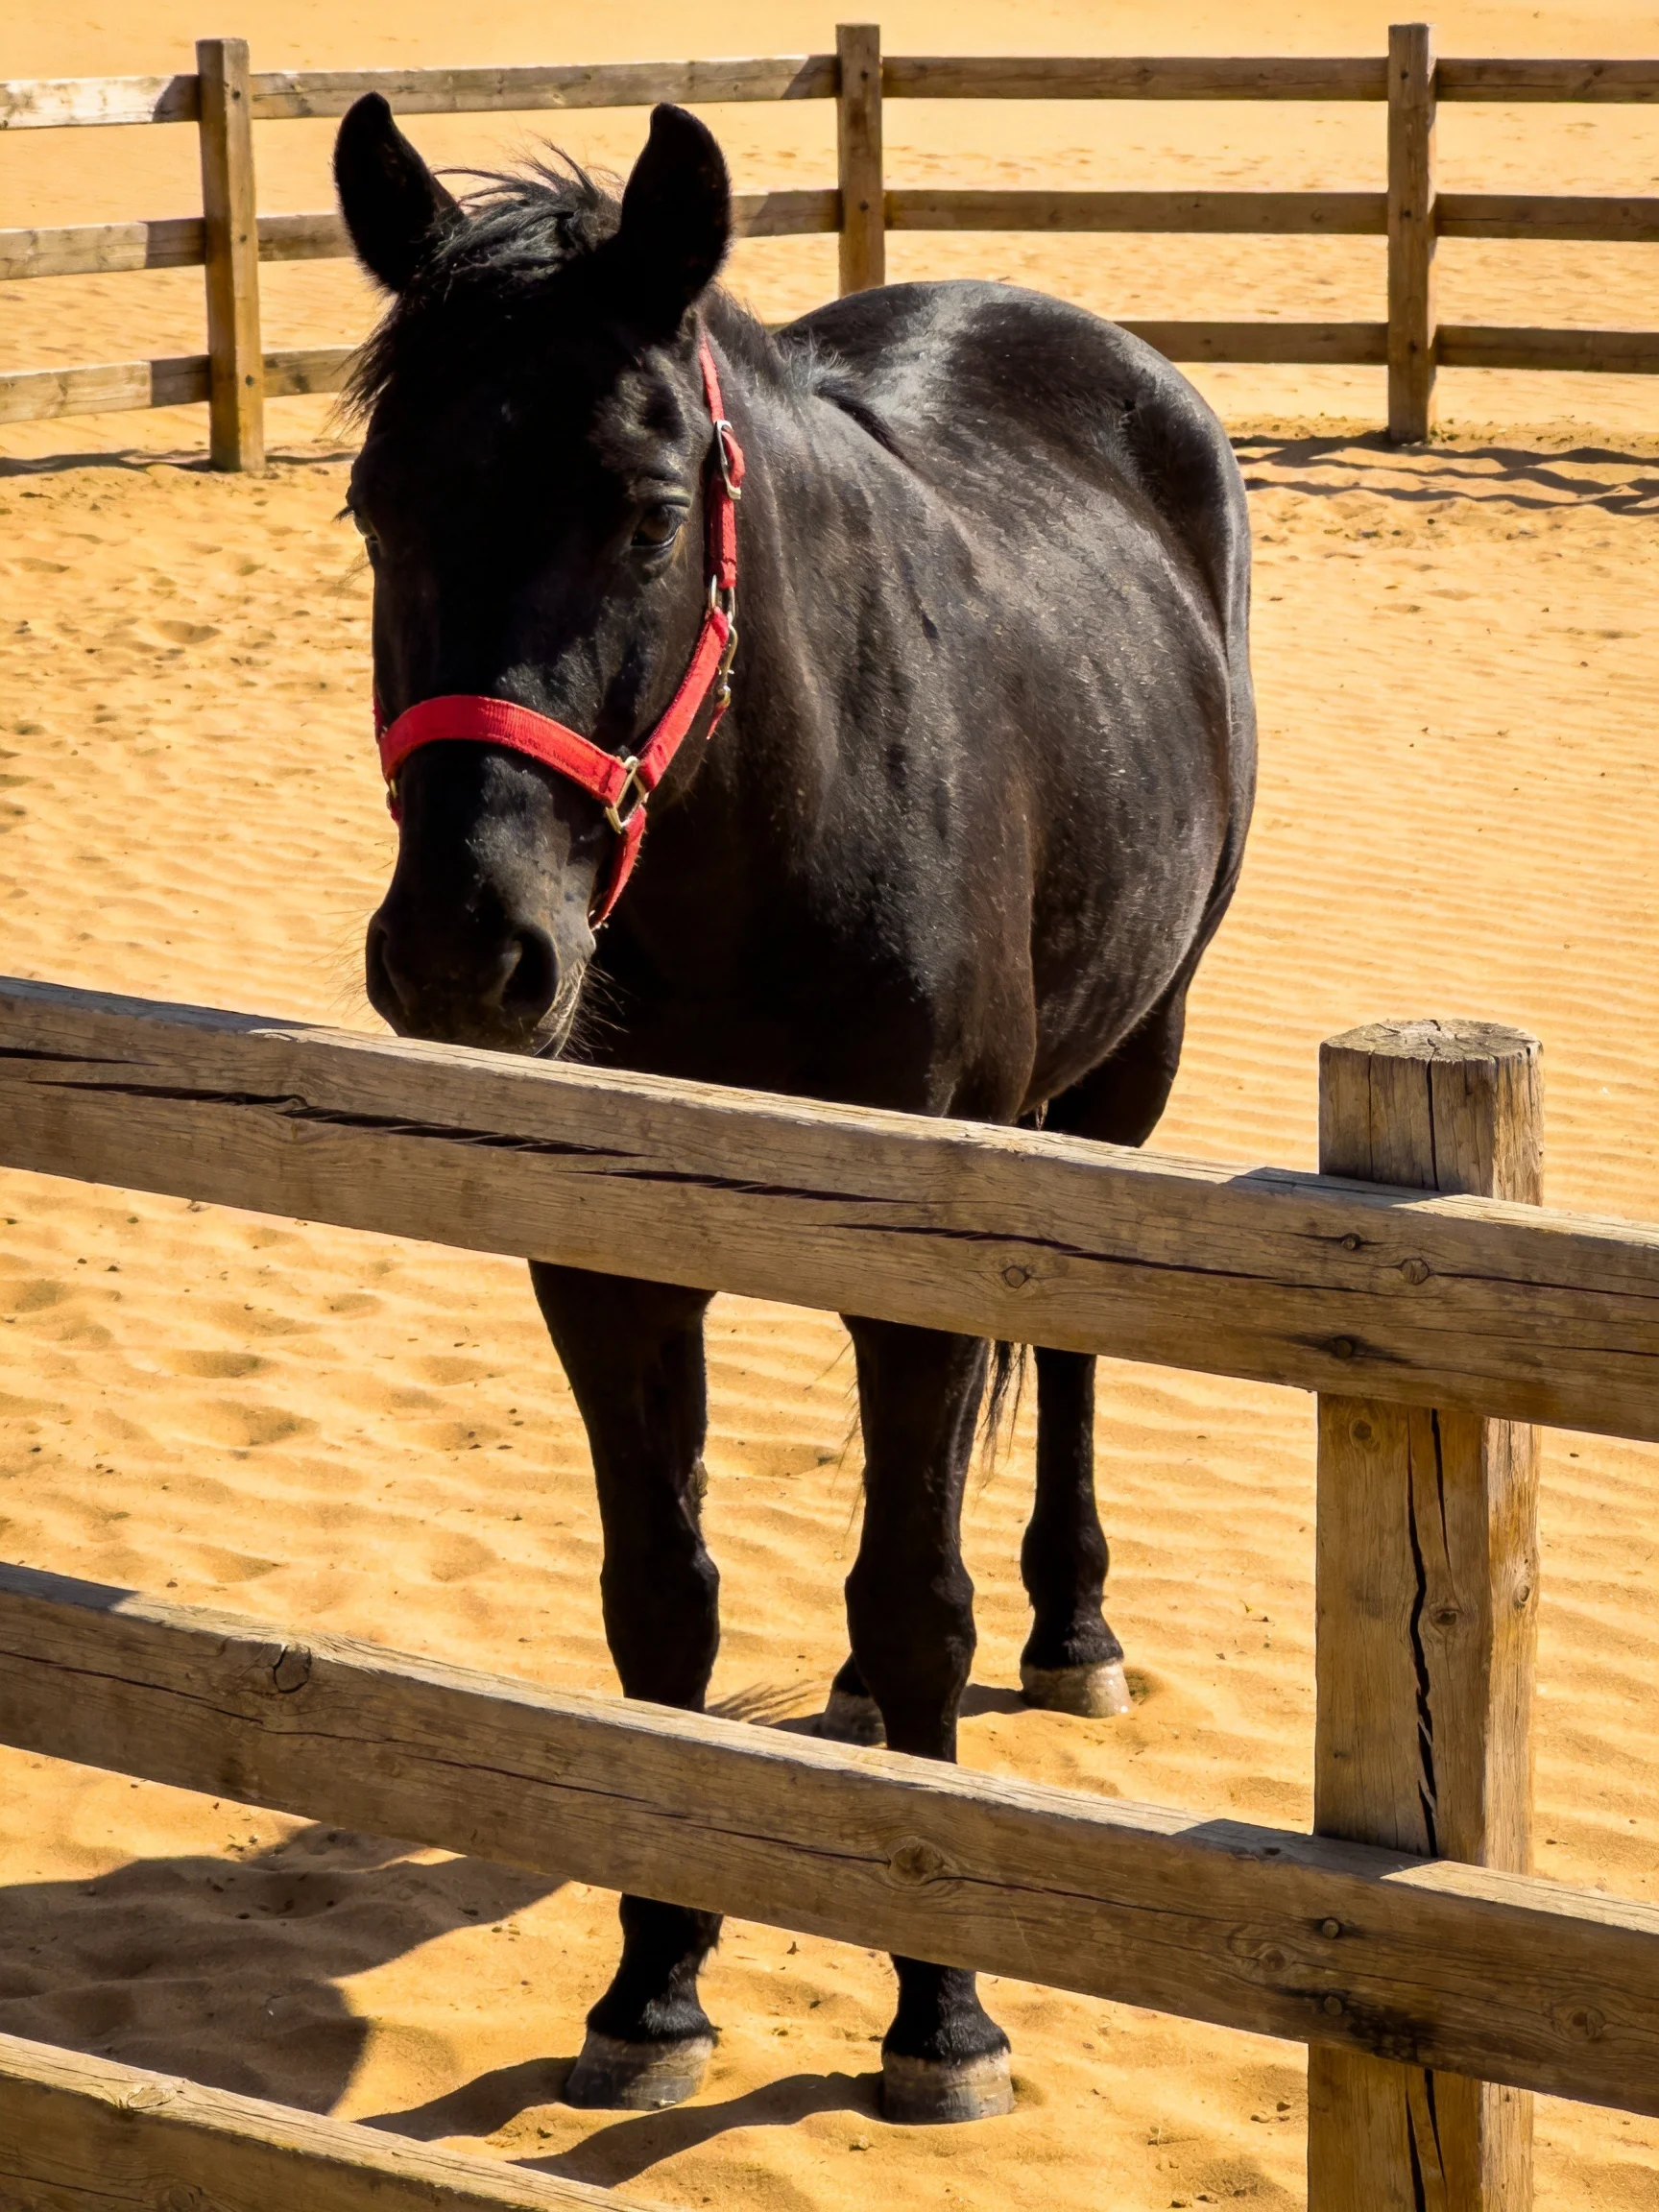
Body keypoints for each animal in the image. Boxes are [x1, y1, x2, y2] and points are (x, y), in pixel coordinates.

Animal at [333, 92, 1256, 2126]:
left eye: (645, 508)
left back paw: (1074, 1627)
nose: (465, 949)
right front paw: (654, 1981)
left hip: (1119, 1078)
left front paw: (941, 2011)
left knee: (1068, 1365)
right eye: (373, 505)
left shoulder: (917, 1260)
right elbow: (660, 1604)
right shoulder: (607, 1265)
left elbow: (921, 1601)